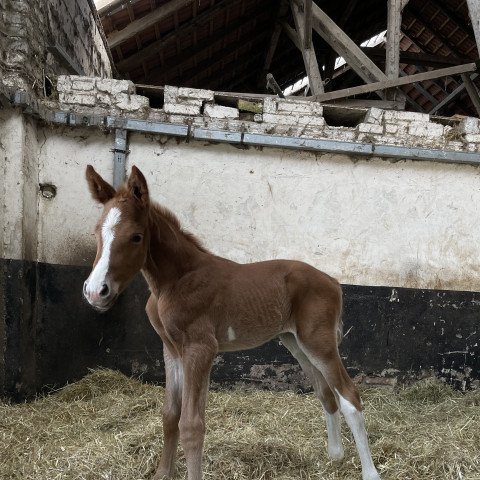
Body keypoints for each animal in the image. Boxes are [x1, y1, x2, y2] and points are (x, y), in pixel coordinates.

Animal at [83, 165, 382, 480]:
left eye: (136, 237)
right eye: (96, 231)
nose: (96, 291)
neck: (175, 282)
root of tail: (333, 282)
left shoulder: (200, 349)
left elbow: (191, 425)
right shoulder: (172, 350)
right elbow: (170, 415)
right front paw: (163, 473)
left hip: (319, 342)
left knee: (349, 396)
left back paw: (369, 472)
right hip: (296, 342)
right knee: (325, 393)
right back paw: (335, 456)